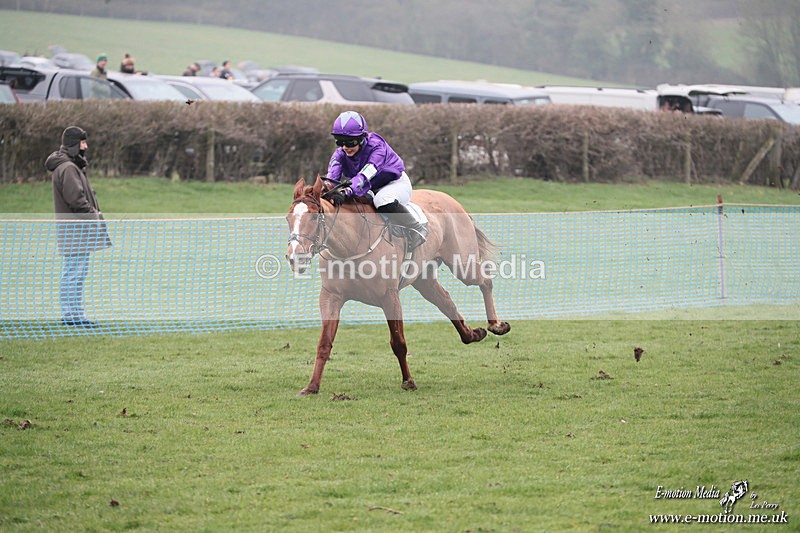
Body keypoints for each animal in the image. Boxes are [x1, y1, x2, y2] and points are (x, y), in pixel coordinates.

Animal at [286, 176, 510, 395]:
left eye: (314, 217)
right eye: (288, 218)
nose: (295, 257)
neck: (353, 243)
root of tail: (450, 199)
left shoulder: (389, 296)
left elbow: (398, 343)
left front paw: (408, 381)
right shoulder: (331, 296)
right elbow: (324, 343)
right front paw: (312, 386)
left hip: (463, 264)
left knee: (485, 280)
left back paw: (496, 325)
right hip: (424, 278)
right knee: (446, 301)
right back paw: (472, 334)